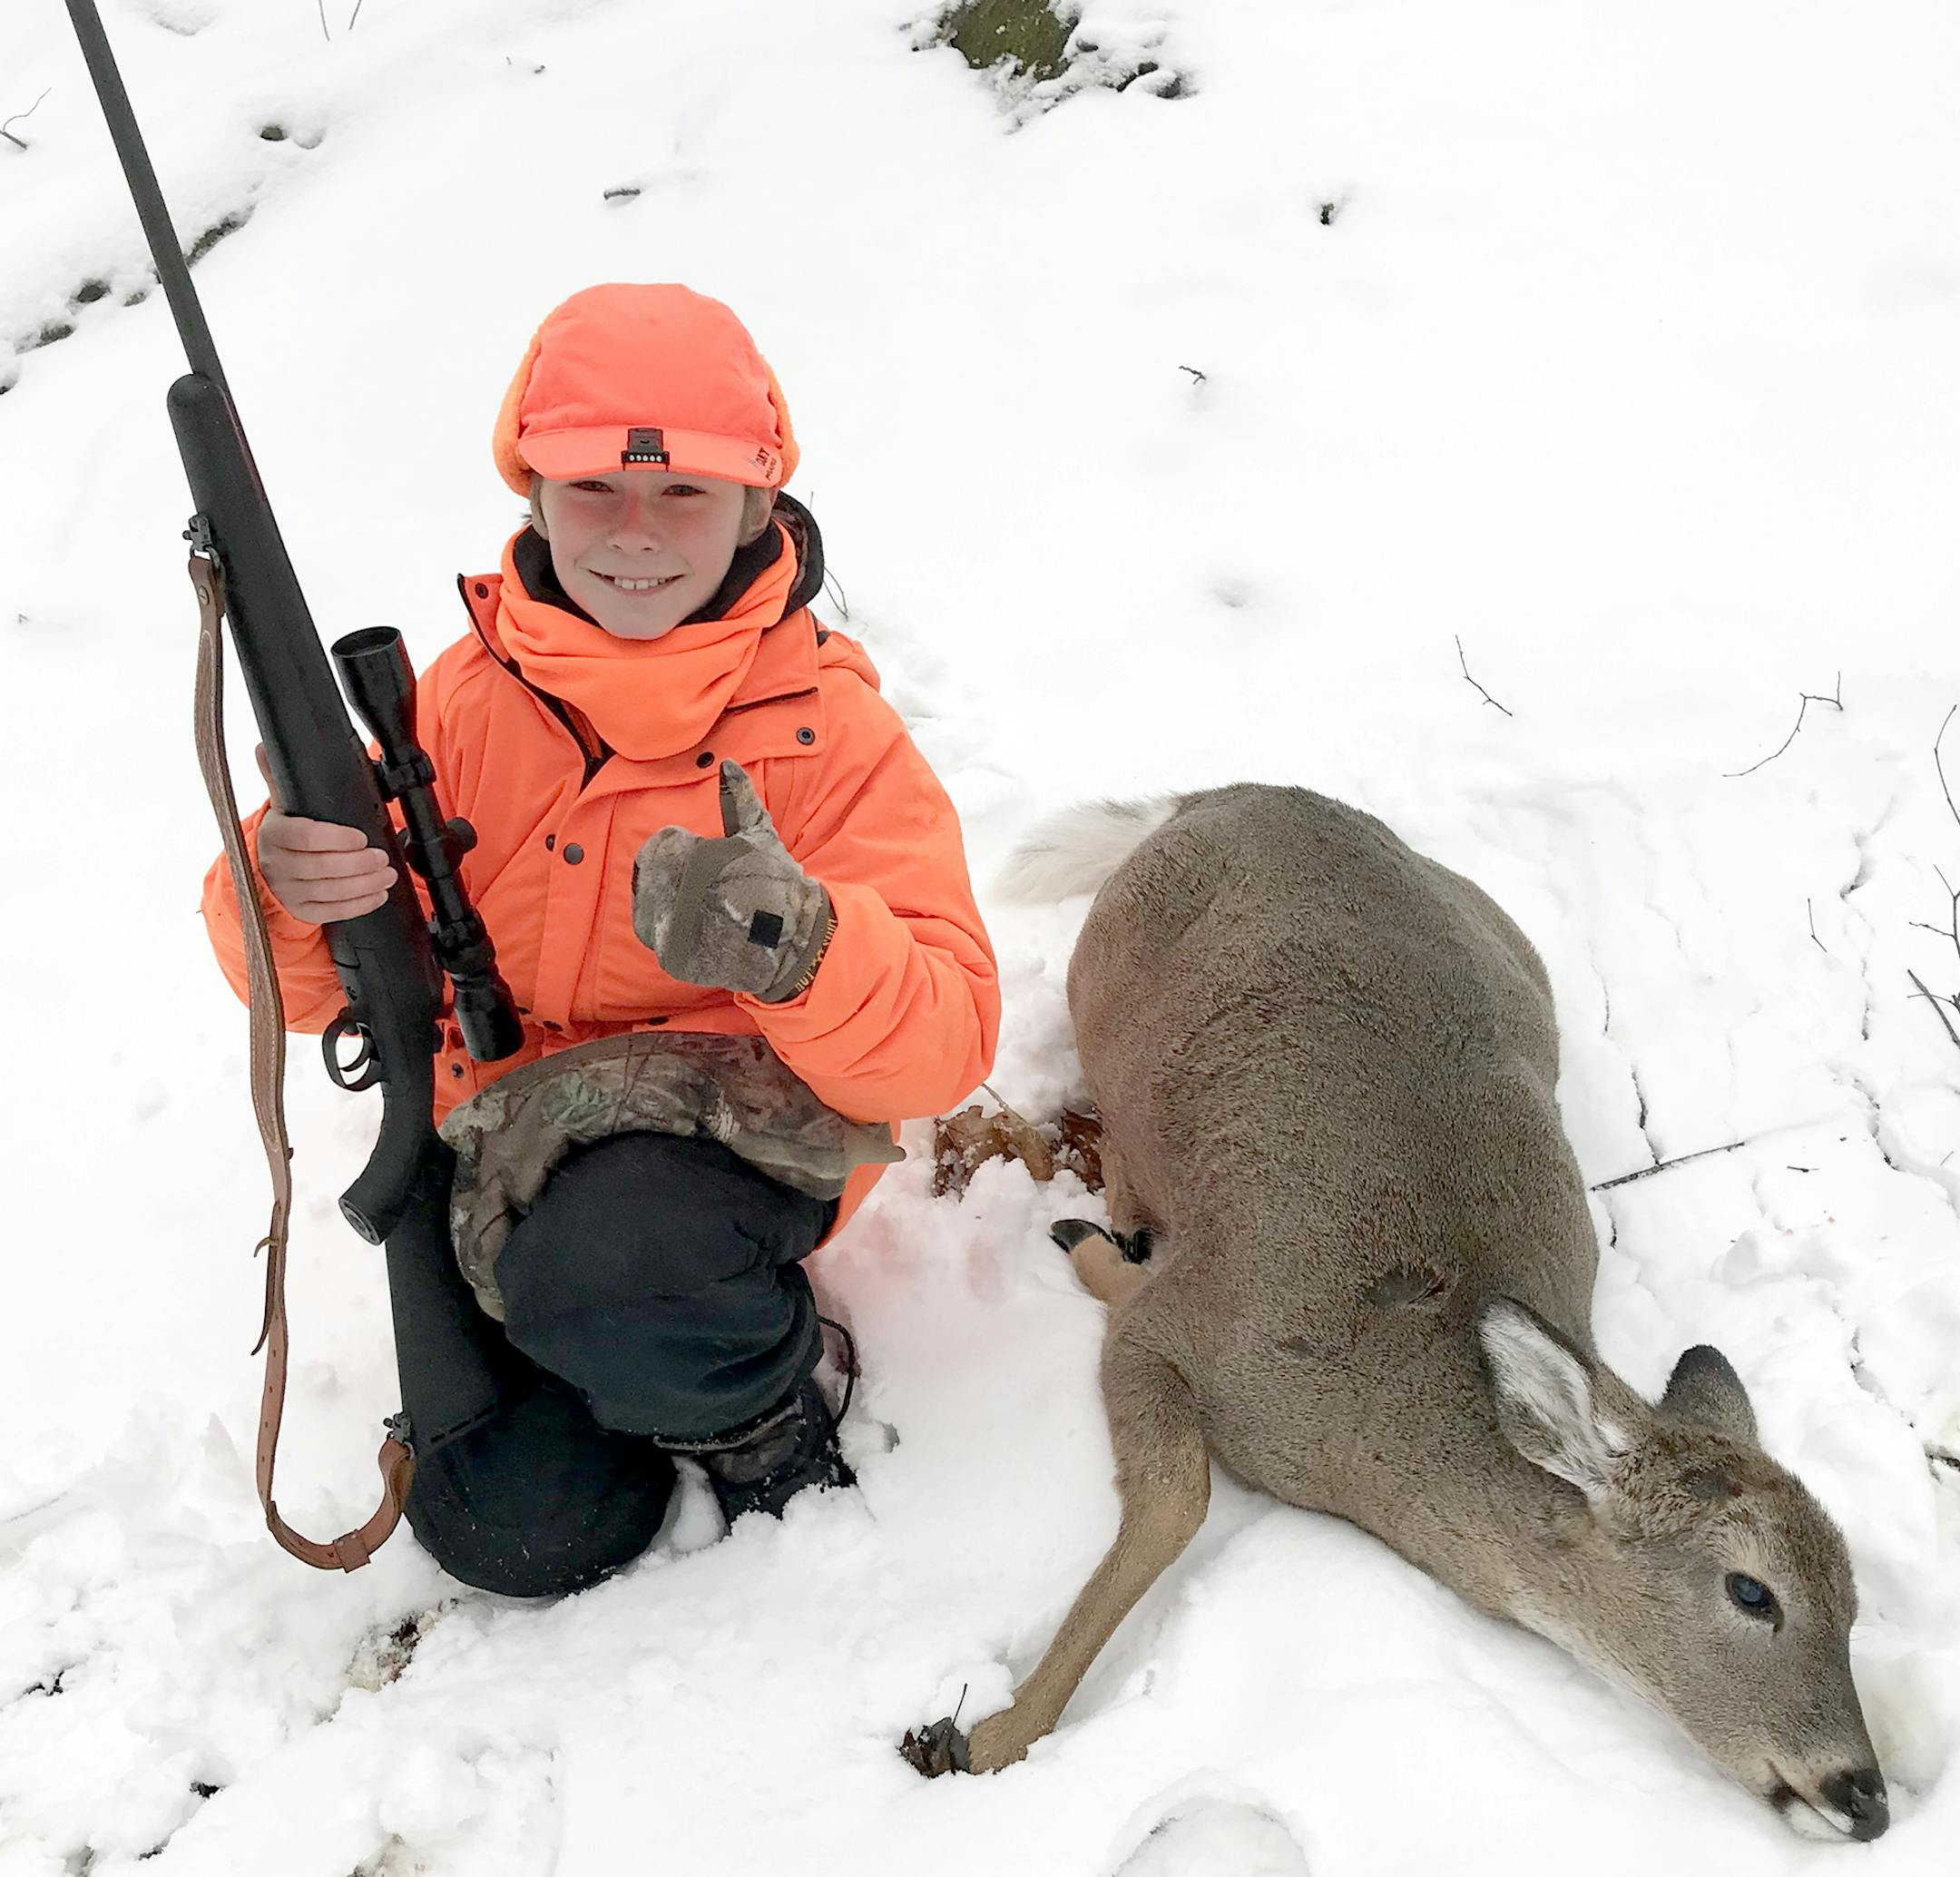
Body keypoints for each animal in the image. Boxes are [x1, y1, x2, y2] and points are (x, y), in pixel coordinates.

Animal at [912, 783, 1889, 1842]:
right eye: (1753, 1590)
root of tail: (1224, 794)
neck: (1375, 1402)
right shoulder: (1187, 1318)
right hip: (1099, 996)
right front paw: (993, 1737)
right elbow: (1177, 1497)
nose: (1866, 1793)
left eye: (1855, 1601)